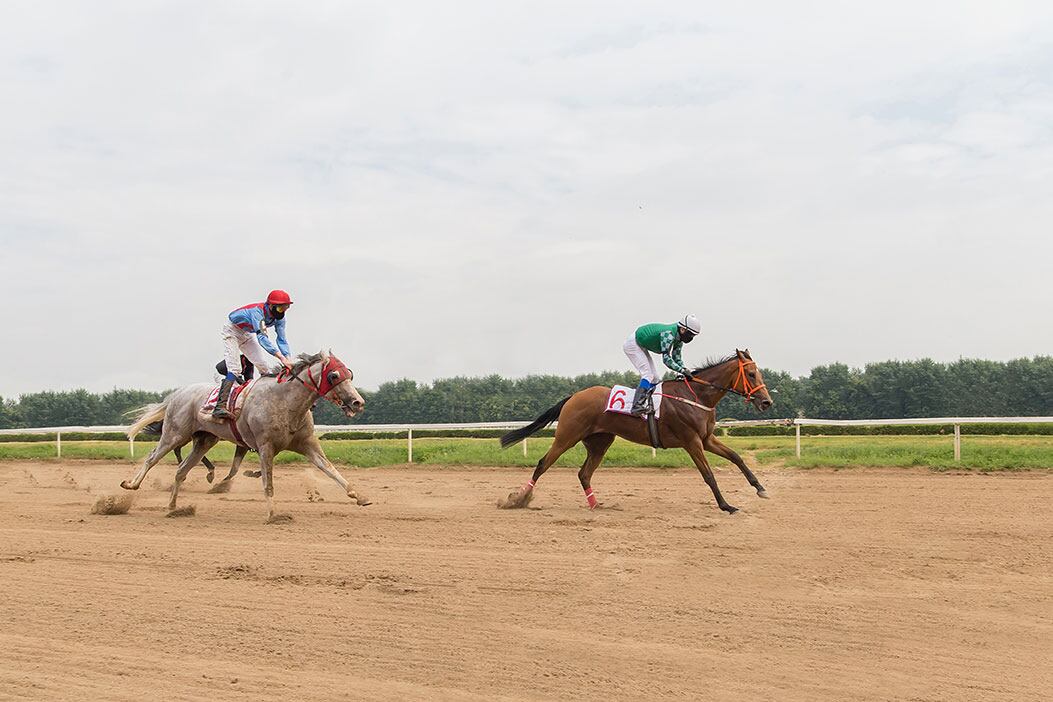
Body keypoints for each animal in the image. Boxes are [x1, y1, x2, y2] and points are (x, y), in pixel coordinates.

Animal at [120, 351, 368, 522]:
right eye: (334, 375)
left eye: (349, 373)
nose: (358, 402)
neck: (286, 402)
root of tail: (176, 394)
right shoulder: (265, 446)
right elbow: (267, 482)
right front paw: (273, 514)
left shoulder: (307, 444)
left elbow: (330, 468)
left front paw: (359, 495)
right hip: (175, 433)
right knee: (152, 457)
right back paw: (131, 484)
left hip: (204, 440)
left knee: (181, 470)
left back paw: (173, 507)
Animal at [492, 349, 775, 511]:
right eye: (751, 374)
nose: (766, 402)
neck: (696, 396)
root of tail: (574, 395)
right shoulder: (691, 441)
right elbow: (708, 475)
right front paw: (726, 505)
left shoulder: (706, 438)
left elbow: (736, 458)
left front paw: (760, 488)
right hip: (567, 436)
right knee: (543, 463)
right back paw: (518, 500)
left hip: (600, 442)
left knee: (584, 473)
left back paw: (596, 505)